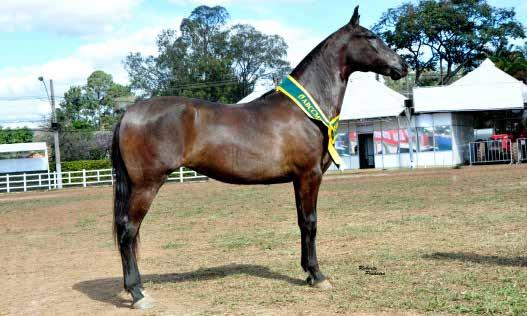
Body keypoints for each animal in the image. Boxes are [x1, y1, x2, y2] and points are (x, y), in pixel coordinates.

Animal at [111, 6, 408, 308]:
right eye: (370, 36)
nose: (403, 65)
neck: (304, 110)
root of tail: (128, 114)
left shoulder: (298, 179)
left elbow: (302, 222)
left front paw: (307, 272)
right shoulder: (310, 175)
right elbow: (311, 222)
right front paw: (318, 275)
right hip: (146, 185)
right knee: (128, 231)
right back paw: (137, 293)